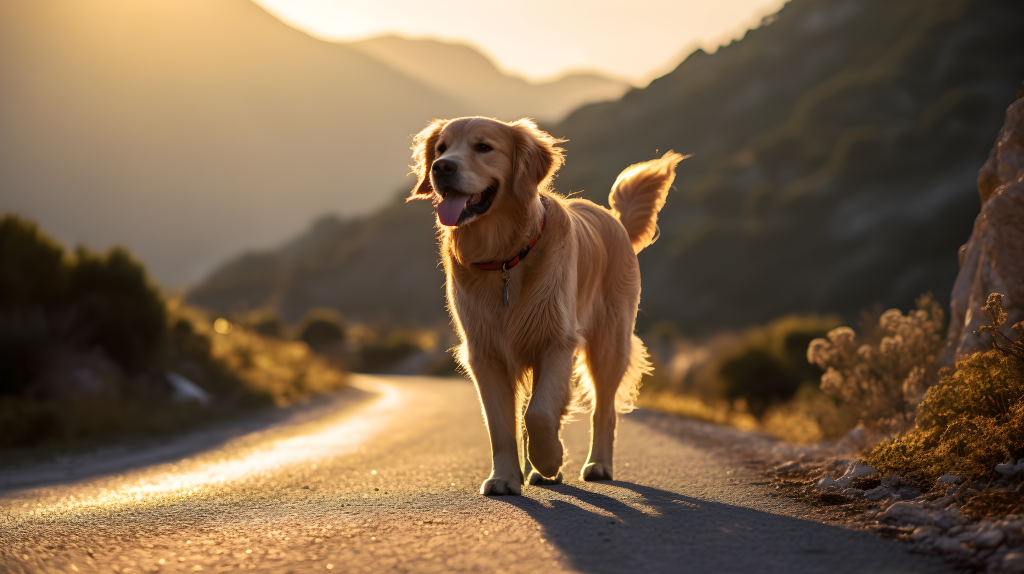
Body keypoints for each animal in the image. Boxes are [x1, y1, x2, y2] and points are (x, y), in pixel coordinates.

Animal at [405, 116, 679, 493]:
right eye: (442, 148)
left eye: (484, 147)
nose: (441, 167)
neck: (505, 258)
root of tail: (614, 219)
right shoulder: (485, 353)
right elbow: (502, 425)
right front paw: (505, 478)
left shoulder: (555, 341)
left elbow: (538, 413)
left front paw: (549, 459)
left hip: (609, 343)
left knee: (603, 410)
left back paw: (596, 465)